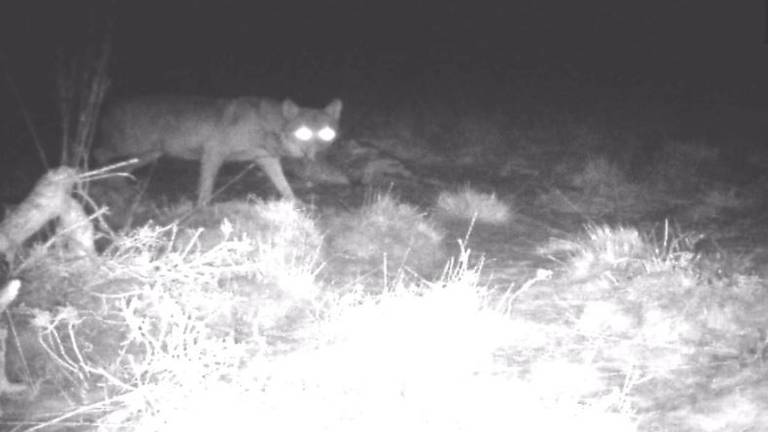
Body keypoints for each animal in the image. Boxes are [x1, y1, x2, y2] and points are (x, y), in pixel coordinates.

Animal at [93, 95, 342, 205]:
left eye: (326, 134)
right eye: (304, 133)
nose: (315, 154)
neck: (265, 124)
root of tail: (108, 102)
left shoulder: (266, 160)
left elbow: (284, 186)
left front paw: (297, 204)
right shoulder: (213, 153)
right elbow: (205, 189)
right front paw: (201, 210)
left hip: (146, 155)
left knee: (118, 169)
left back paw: (118, 189)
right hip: (130, 149)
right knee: (98, 154)